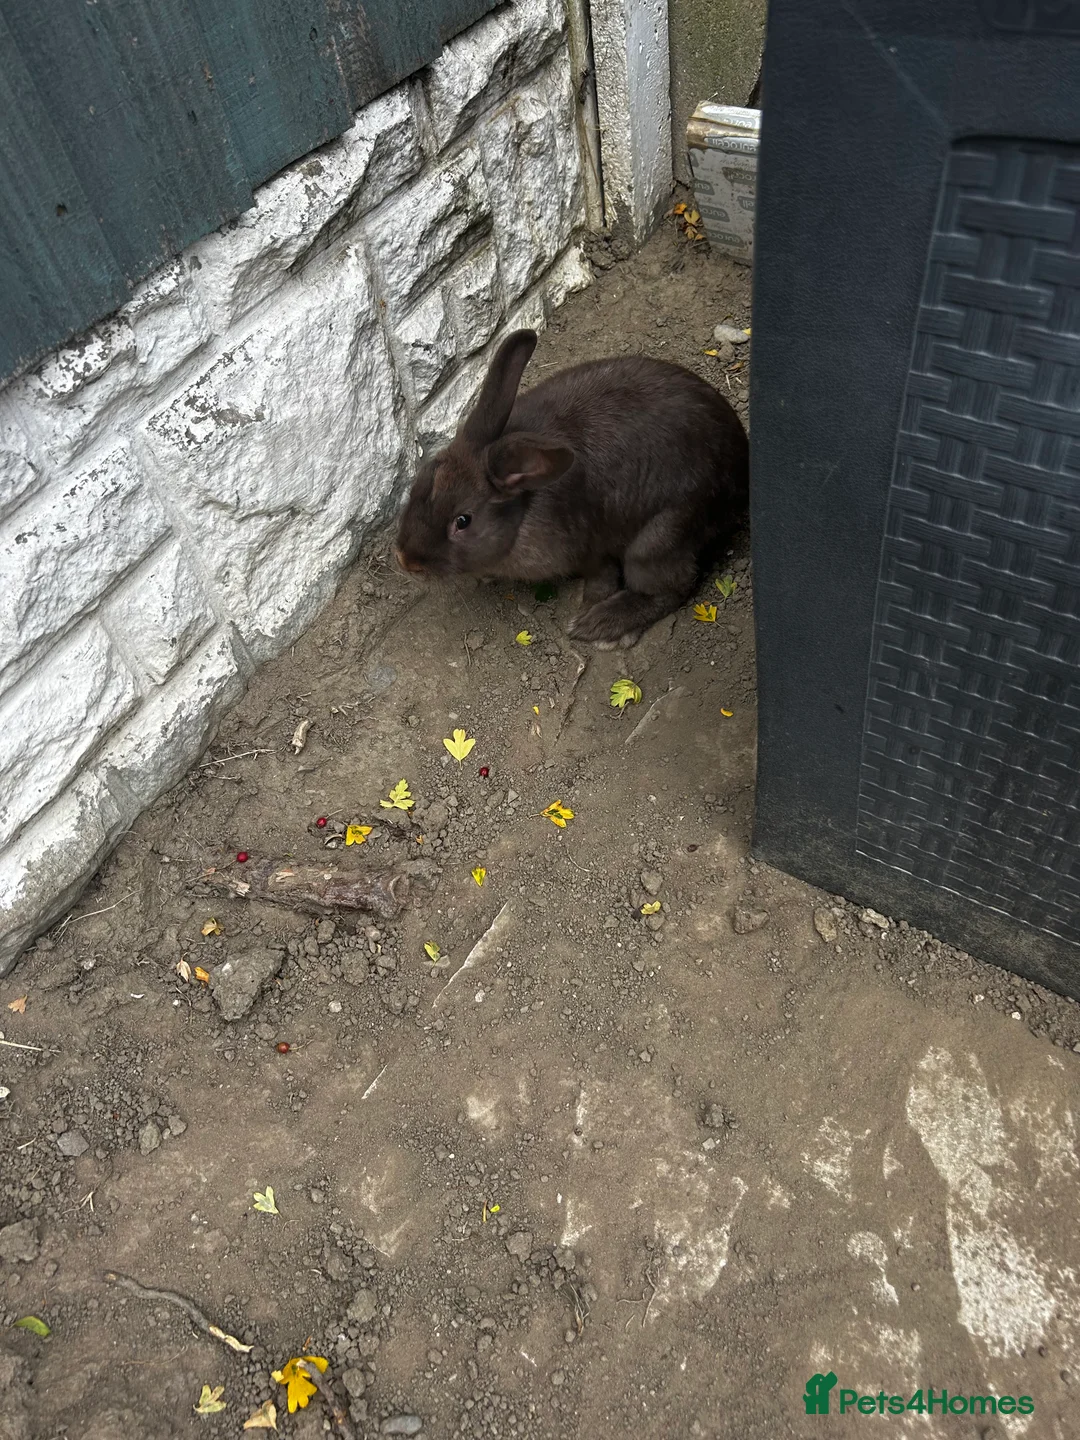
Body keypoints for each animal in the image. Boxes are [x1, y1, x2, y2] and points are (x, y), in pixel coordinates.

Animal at [394, 328, 748, 647]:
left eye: (463, 521)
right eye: (422, 479)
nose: (406, 562)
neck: (523, 510)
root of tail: (739, 474)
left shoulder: (591, 551)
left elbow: (601, 579)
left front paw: (588, 609)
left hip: (659, 539)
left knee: (669, 588)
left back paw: (603, 627)